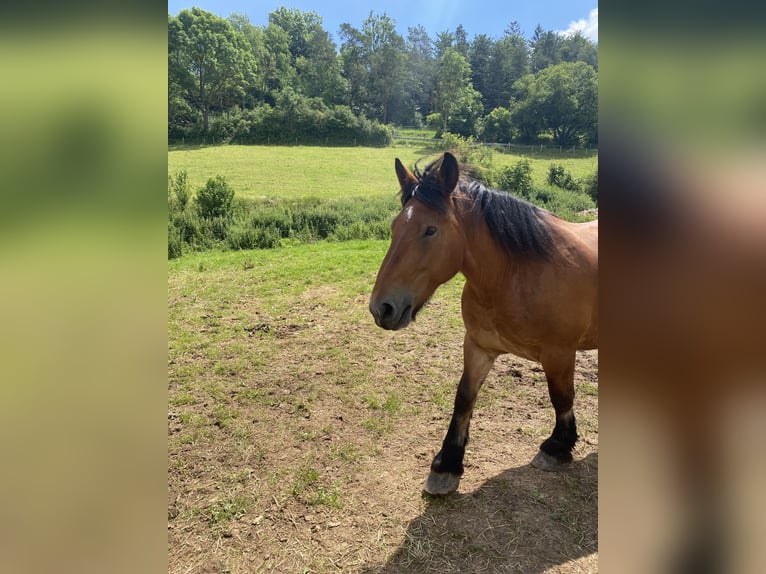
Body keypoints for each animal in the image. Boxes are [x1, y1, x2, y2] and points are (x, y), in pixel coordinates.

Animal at [372, 153, 600, 496]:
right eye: (395, 226)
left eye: (430, 230)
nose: (381, 308)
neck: (515, 275)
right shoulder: (478, 346)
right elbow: (464, 398)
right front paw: (447, 464)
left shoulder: (559, 354)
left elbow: (561, 397)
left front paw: (558, 447)